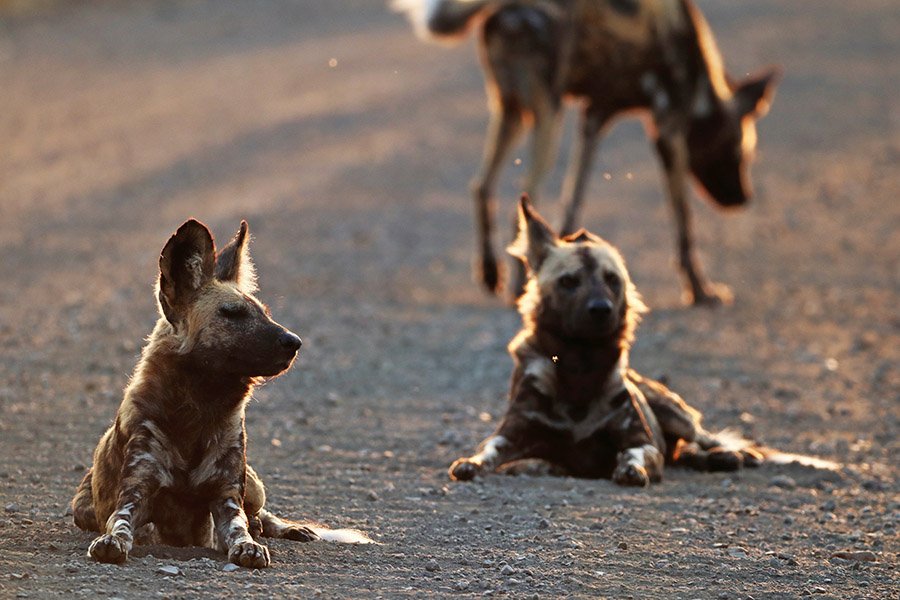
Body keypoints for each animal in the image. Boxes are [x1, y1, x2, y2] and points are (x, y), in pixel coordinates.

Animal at [69, 219, 372, 568]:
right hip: (82, 509)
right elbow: (122, 522)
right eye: (232, 313)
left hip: (253, 487)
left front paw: (250, 546)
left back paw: (288, 528)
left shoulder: (227, 498)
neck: (198, 410)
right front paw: (115, 540)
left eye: (265, 312)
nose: (295, 342)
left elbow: (240, 528)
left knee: (262, 515)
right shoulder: (136, 491)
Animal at [394, 0, 780, 304]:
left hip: (512, 112)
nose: (743, 198)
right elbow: (683, 222)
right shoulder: (668, 132)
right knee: (523, 195)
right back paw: (519, 288)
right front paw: (701, 291)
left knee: (482, 185)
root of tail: (507, 11)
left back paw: (492, 274)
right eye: (741, 152)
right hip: (548, 115)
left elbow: (572, 201)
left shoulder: (594, 119)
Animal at [450, 199, 836, 486]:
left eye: (612, 280)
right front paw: (472, 463)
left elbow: (636, 454)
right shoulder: (512, 435)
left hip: (676, 415)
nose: (600, 309)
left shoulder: (641, 440)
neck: (579, 369)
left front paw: (630, 470)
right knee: (684, 453)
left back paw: (731, 455)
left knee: (703, 439)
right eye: (569, 281)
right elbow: (487, 452)